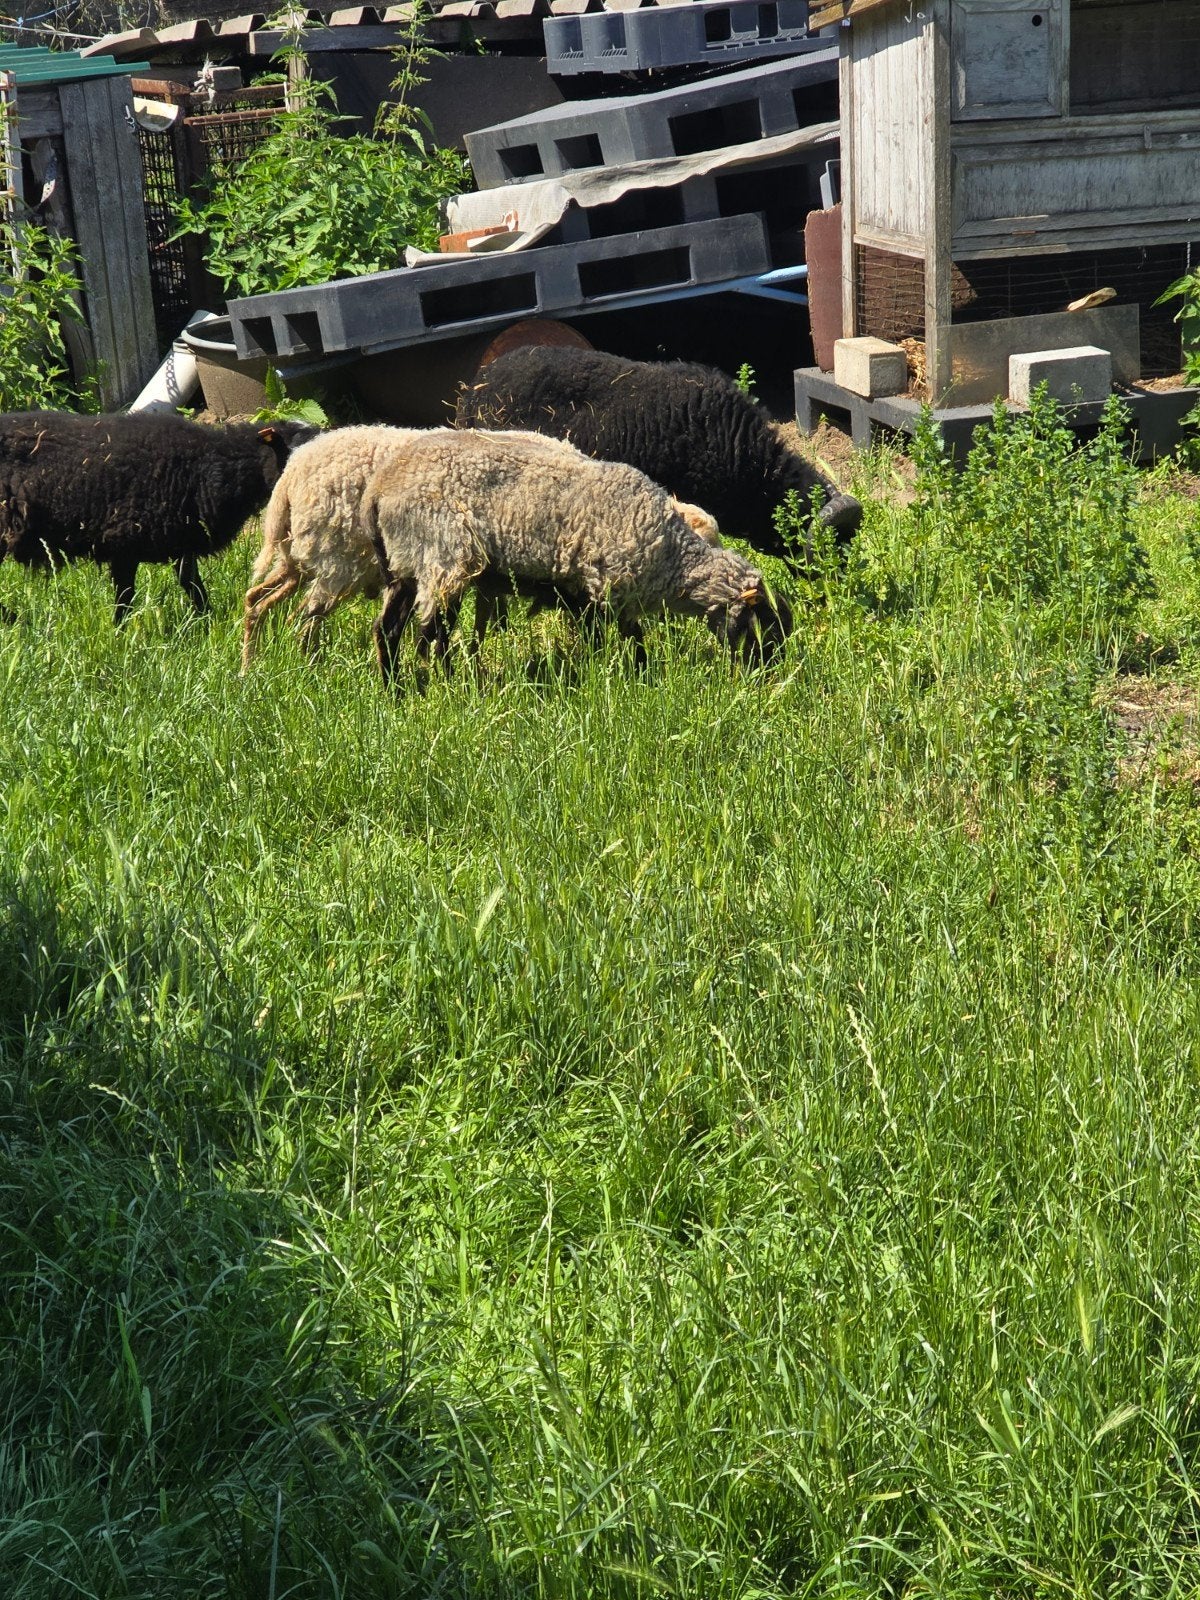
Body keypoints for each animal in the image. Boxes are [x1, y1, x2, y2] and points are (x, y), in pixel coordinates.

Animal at [0, 410, 319, 624]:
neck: (210, 465)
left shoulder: (182, 539)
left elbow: (191, 584)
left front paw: (207, 621)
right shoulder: (124, 541)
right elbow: (125, 595)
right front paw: (120, 632)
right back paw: (17, 620)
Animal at [240, 424, 722, 670]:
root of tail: (293, 471)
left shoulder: (492, 578)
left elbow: (484, 623)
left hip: (300, 561)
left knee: (257, 601)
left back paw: (252, 665)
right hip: (338, 564)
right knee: (306, 619)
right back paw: (307, 667)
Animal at [365, 428, 793, 684]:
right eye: (764, 628)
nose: (770, 677)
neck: (673, 560)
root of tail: (381, 488)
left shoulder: (585, 593)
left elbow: (615, 637)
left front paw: (629, 671)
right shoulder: (606, 586)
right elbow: (622, 637)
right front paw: (626, 675)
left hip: (404, 566)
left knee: (388, 629)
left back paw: (395, 690)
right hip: (444, 556)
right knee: (432, 633)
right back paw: (454, 686)